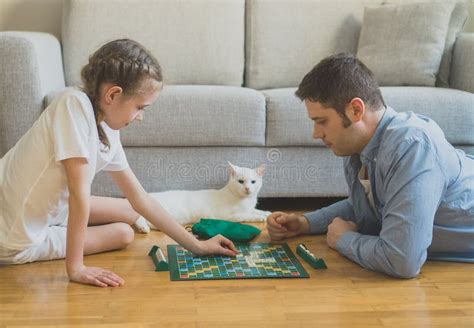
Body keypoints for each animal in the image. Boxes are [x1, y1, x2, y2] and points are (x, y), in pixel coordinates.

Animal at [135, 161, 272, 233]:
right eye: (241, 182)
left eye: (253, 182)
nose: (247, 188)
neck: (245, 200)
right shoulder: (230, 216)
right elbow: (247, 215)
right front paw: (260, 217)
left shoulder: (249, 207)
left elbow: (255, 210)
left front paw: (267, 213)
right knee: (139, 218)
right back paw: (143, 228)